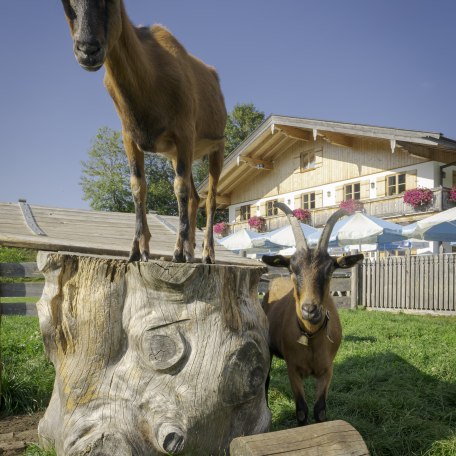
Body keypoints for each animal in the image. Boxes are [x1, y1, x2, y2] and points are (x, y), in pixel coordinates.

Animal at [60, 0, 226, 264]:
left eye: (111, 2)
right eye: (65, 4)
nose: (88, 50)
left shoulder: (185, 133)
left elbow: (179, 187)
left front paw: (178, 252)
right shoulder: (130, 137)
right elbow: (138, 185)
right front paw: (138, 250)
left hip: (216, 145)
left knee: (209, 198)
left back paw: (205, 254)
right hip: (176, 155)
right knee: (194, 197)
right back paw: (189, 249)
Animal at [260, 203, 364, 424]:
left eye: (330, 269)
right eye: (292, 268)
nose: (310, 309)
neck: (310, 336)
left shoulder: (327, 370)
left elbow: (320, 410)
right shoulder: (293, 369)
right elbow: (301, 410)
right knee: (266, 378)